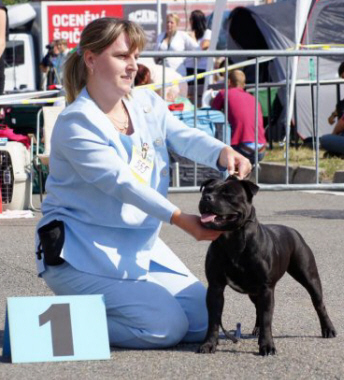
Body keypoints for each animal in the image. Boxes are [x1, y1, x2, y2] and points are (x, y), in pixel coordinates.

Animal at [198, 177, 334, 354]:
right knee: (258, 309)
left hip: (309, 277)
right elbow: (214, 319)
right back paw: (257, 329)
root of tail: (292, 231)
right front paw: (209, 344)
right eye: (206, 191)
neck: (233, 240)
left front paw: (267, 345)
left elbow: (267, 318)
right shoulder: (215, 287)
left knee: (319, 304)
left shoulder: (266, 288)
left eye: (228, 194)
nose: (207, 198)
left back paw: (328, 329)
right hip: (253, 291)